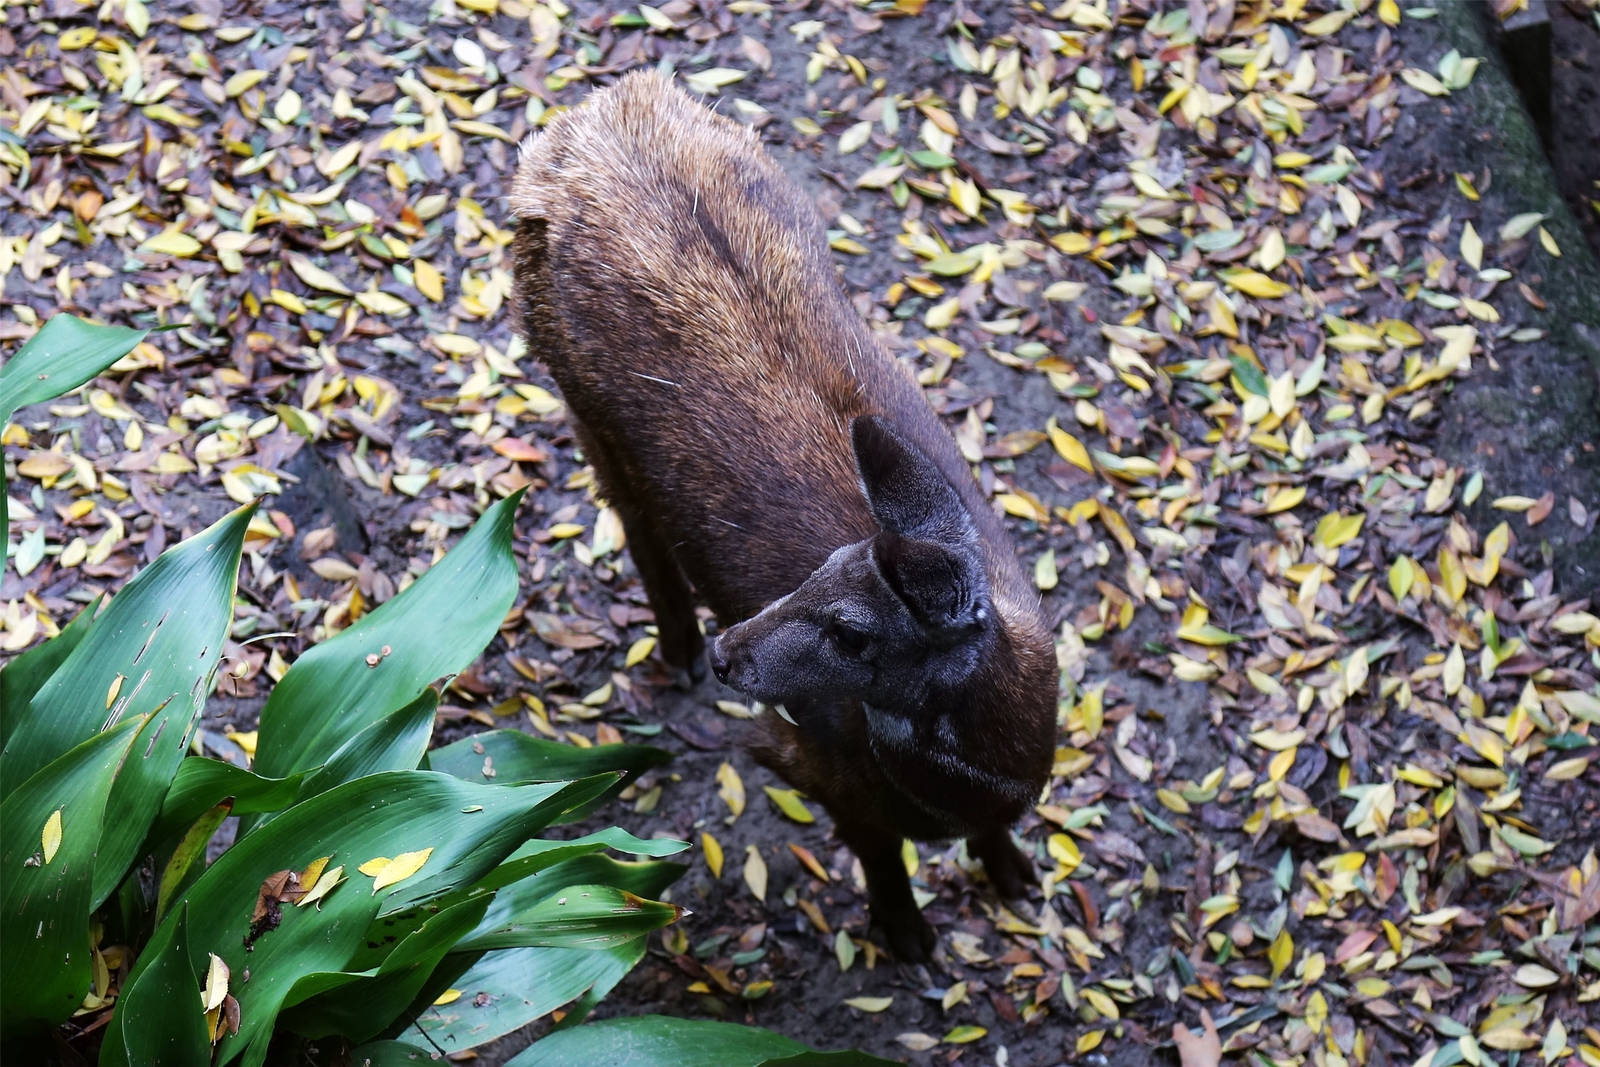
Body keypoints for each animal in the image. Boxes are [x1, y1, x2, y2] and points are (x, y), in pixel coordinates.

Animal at [508, 71, 1057, 961]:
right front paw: (907, 935)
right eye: (820, 573)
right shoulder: (808, 757)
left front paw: (1016, 877)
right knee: (635, 523)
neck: (983, 777)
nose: (733, 653)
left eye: (852, 629)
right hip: (575, 392)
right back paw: (677, 654)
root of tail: (575, 129)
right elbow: (875, 847)